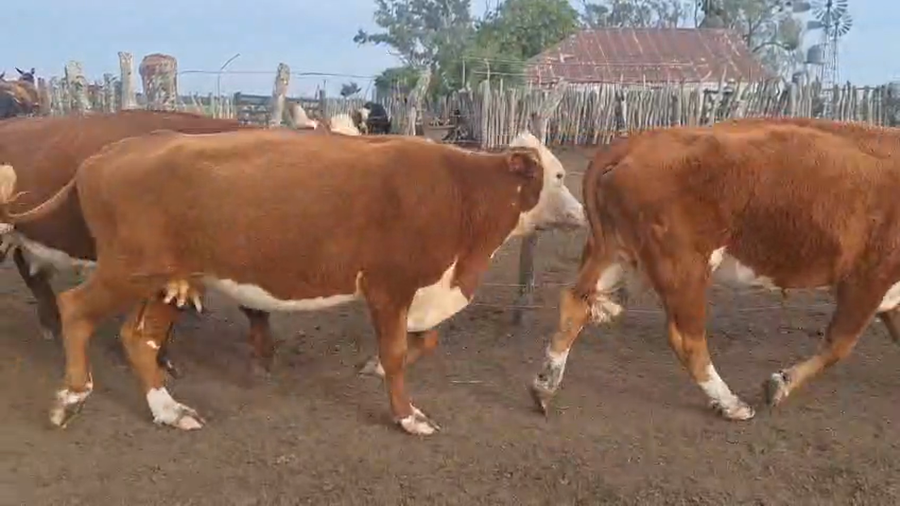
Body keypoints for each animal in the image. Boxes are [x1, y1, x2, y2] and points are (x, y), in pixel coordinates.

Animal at [0, 129, 585, 434]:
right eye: (558, 175)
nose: (582, 214)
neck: (459, 194)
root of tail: (107, 154)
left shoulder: (420, 292)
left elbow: (423, 342)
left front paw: (370, 367)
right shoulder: (389, 286)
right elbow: (399, 354)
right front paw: (406, 414)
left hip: (169, 278)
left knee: (138, 337)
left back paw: (168, 410)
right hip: (127, 269)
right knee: (76, 310)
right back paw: (72, 395)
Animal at [529, 118, 900, 422]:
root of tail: (634, 142)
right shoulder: (869, 278)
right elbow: (839, 344)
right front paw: (779, 385)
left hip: (617, 255)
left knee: (576, 303)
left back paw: (544, 386)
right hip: (683, 268)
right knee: (687, 338)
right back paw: (730, 403)